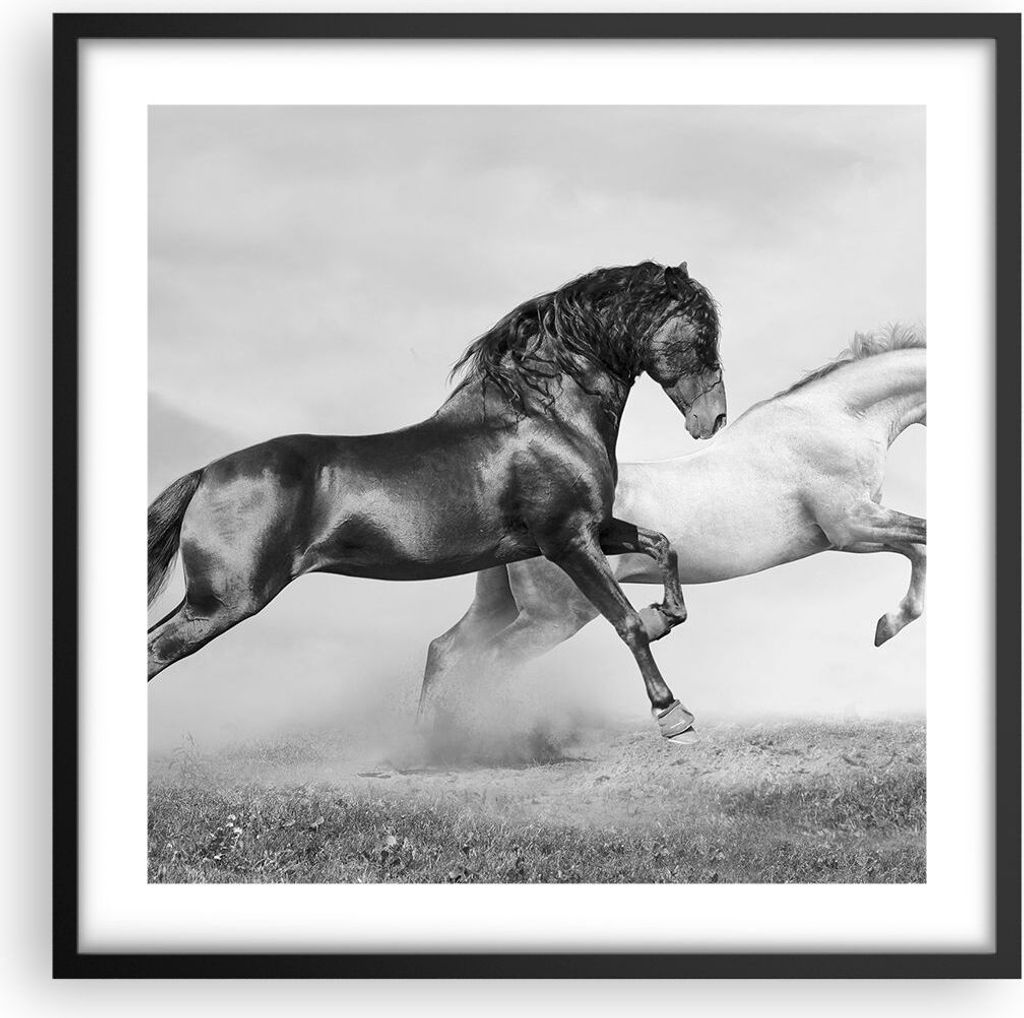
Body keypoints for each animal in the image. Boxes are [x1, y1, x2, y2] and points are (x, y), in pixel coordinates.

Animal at [147, 261, 727, 741]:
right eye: (701, 332)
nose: (714, 419)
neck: (546, 419)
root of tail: (205, 474)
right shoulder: (567, 540)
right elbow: (625, 623)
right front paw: (672, 713)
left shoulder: (595, 528)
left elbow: (662, 545)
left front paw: (665, 614)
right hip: (224, 601)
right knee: (155, 651)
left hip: (210, 601)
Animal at [419, 324, 926, 735]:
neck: (838, 418)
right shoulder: (851, 525)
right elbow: (924, 538)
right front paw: (890, 624)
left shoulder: (851, 535)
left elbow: (917, 550)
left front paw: (887, 626)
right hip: (553, 618)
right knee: (489, 662)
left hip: (501, 606)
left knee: (446, 650)